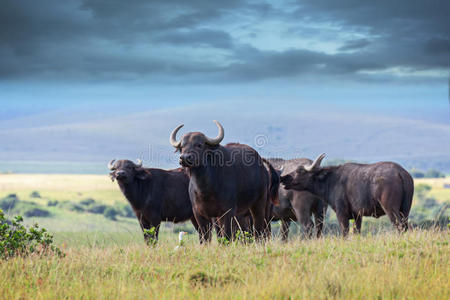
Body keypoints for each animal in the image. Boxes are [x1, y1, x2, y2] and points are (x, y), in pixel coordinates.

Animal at [282, 154, 414, 236]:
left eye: (299, 171)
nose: (283, 178)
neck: (332, 180)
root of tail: (400, 172)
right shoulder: (357, 216)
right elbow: (357, 232)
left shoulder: (341, 213)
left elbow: (345, 232)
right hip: (405, 210)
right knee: (405, 226)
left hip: (391, 209)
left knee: (399, 226)